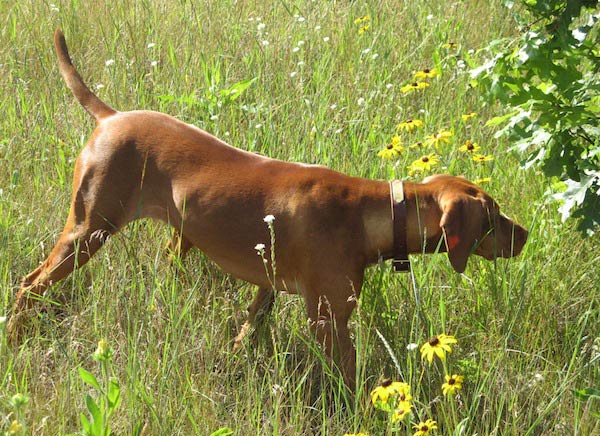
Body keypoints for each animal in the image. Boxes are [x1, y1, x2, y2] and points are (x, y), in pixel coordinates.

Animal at [8, 29, 524, 386]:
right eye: (494, 215)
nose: (526, 236)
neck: (372, 211)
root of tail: (112, 117)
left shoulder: (268, 287)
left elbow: (245, 332)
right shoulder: (328, 320)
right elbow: (350, 380)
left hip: (175, 235)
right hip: (88, 229)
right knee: (29, 284)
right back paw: (13, 341)